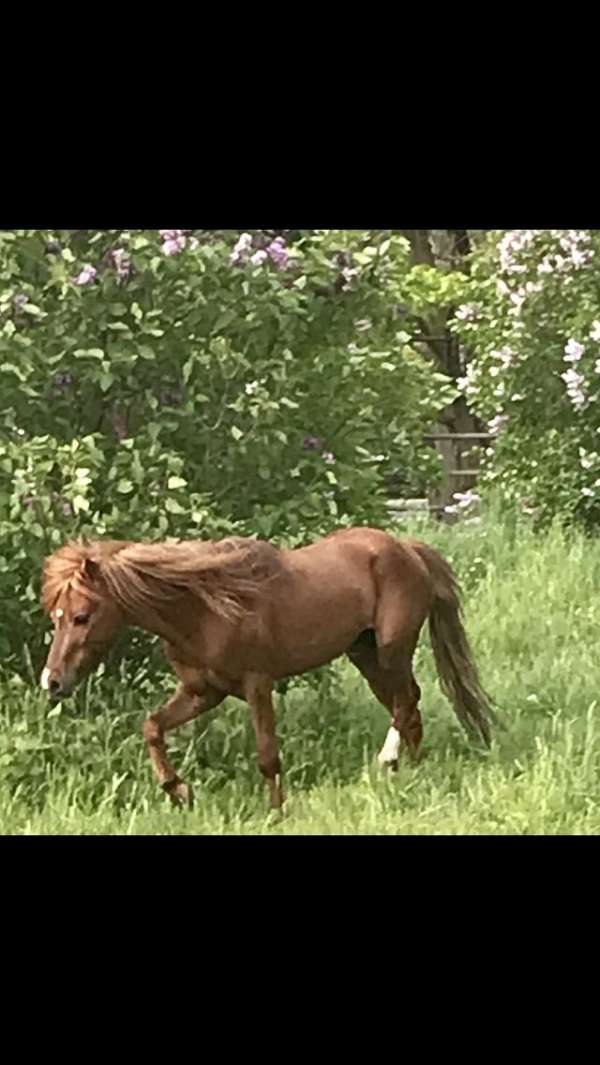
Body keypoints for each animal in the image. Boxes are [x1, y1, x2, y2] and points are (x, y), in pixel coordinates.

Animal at [39, 528, 494, 809]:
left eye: (81, 616)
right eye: (55, 616)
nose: (53, 681)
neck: (203, 609)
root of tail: (407, 547)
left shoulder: (257, 684)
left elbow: (267, 756)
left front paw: (277, 811)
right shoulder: (202, 692)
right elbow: (152, 727)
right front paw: (179, 791)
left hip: (391, 649)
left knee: (405, 703)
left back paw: (389, 763)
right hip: (364, 655)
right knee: (408, 706)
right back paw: (409, 771)